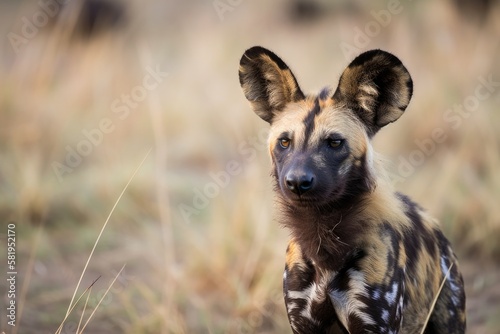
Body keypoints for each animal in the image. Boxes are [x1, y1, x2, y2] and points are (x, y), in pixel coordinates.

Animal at [238, 47, 464, 334]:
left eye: (334, 143)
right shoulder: (303, 322)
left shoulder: (373, 324)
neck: (323, 240)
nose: (297, 182)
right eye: (285, 142)